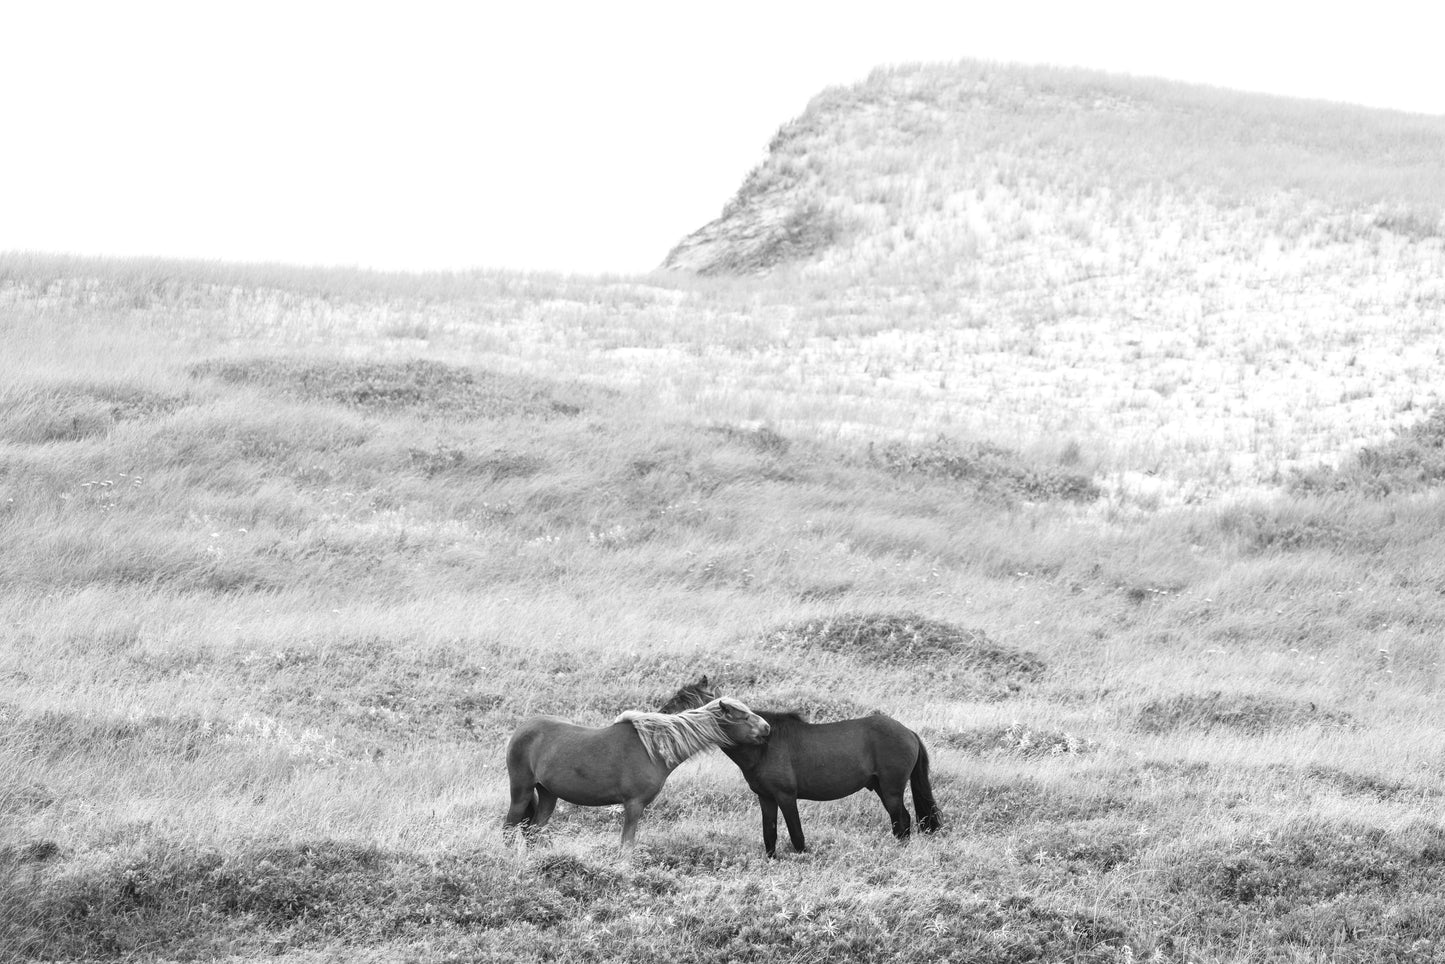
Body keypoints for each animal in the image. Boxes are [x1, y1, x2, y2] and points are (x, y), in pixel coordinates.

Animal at [502, 696, 768, 849]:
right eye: (744, 716)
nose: (767, 728)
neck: (653, 749)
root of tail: (522, 729)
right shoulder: (634, 805)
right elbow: (626, 845)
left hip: (548, 793)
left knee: (535, 830)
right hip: (521, 789)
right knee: (510, 828)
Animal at [661, 679, 942, 861]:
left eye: (687, 703)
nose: (661, 717)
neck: (763, 744)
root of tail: (909, 732)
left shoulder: (786, 797)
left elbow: (796, 835)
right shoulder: (765, 798)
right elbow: (769, 833)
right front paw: (772, 860)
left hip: (891, 789)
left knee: (901, 820)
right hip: (882, 788)